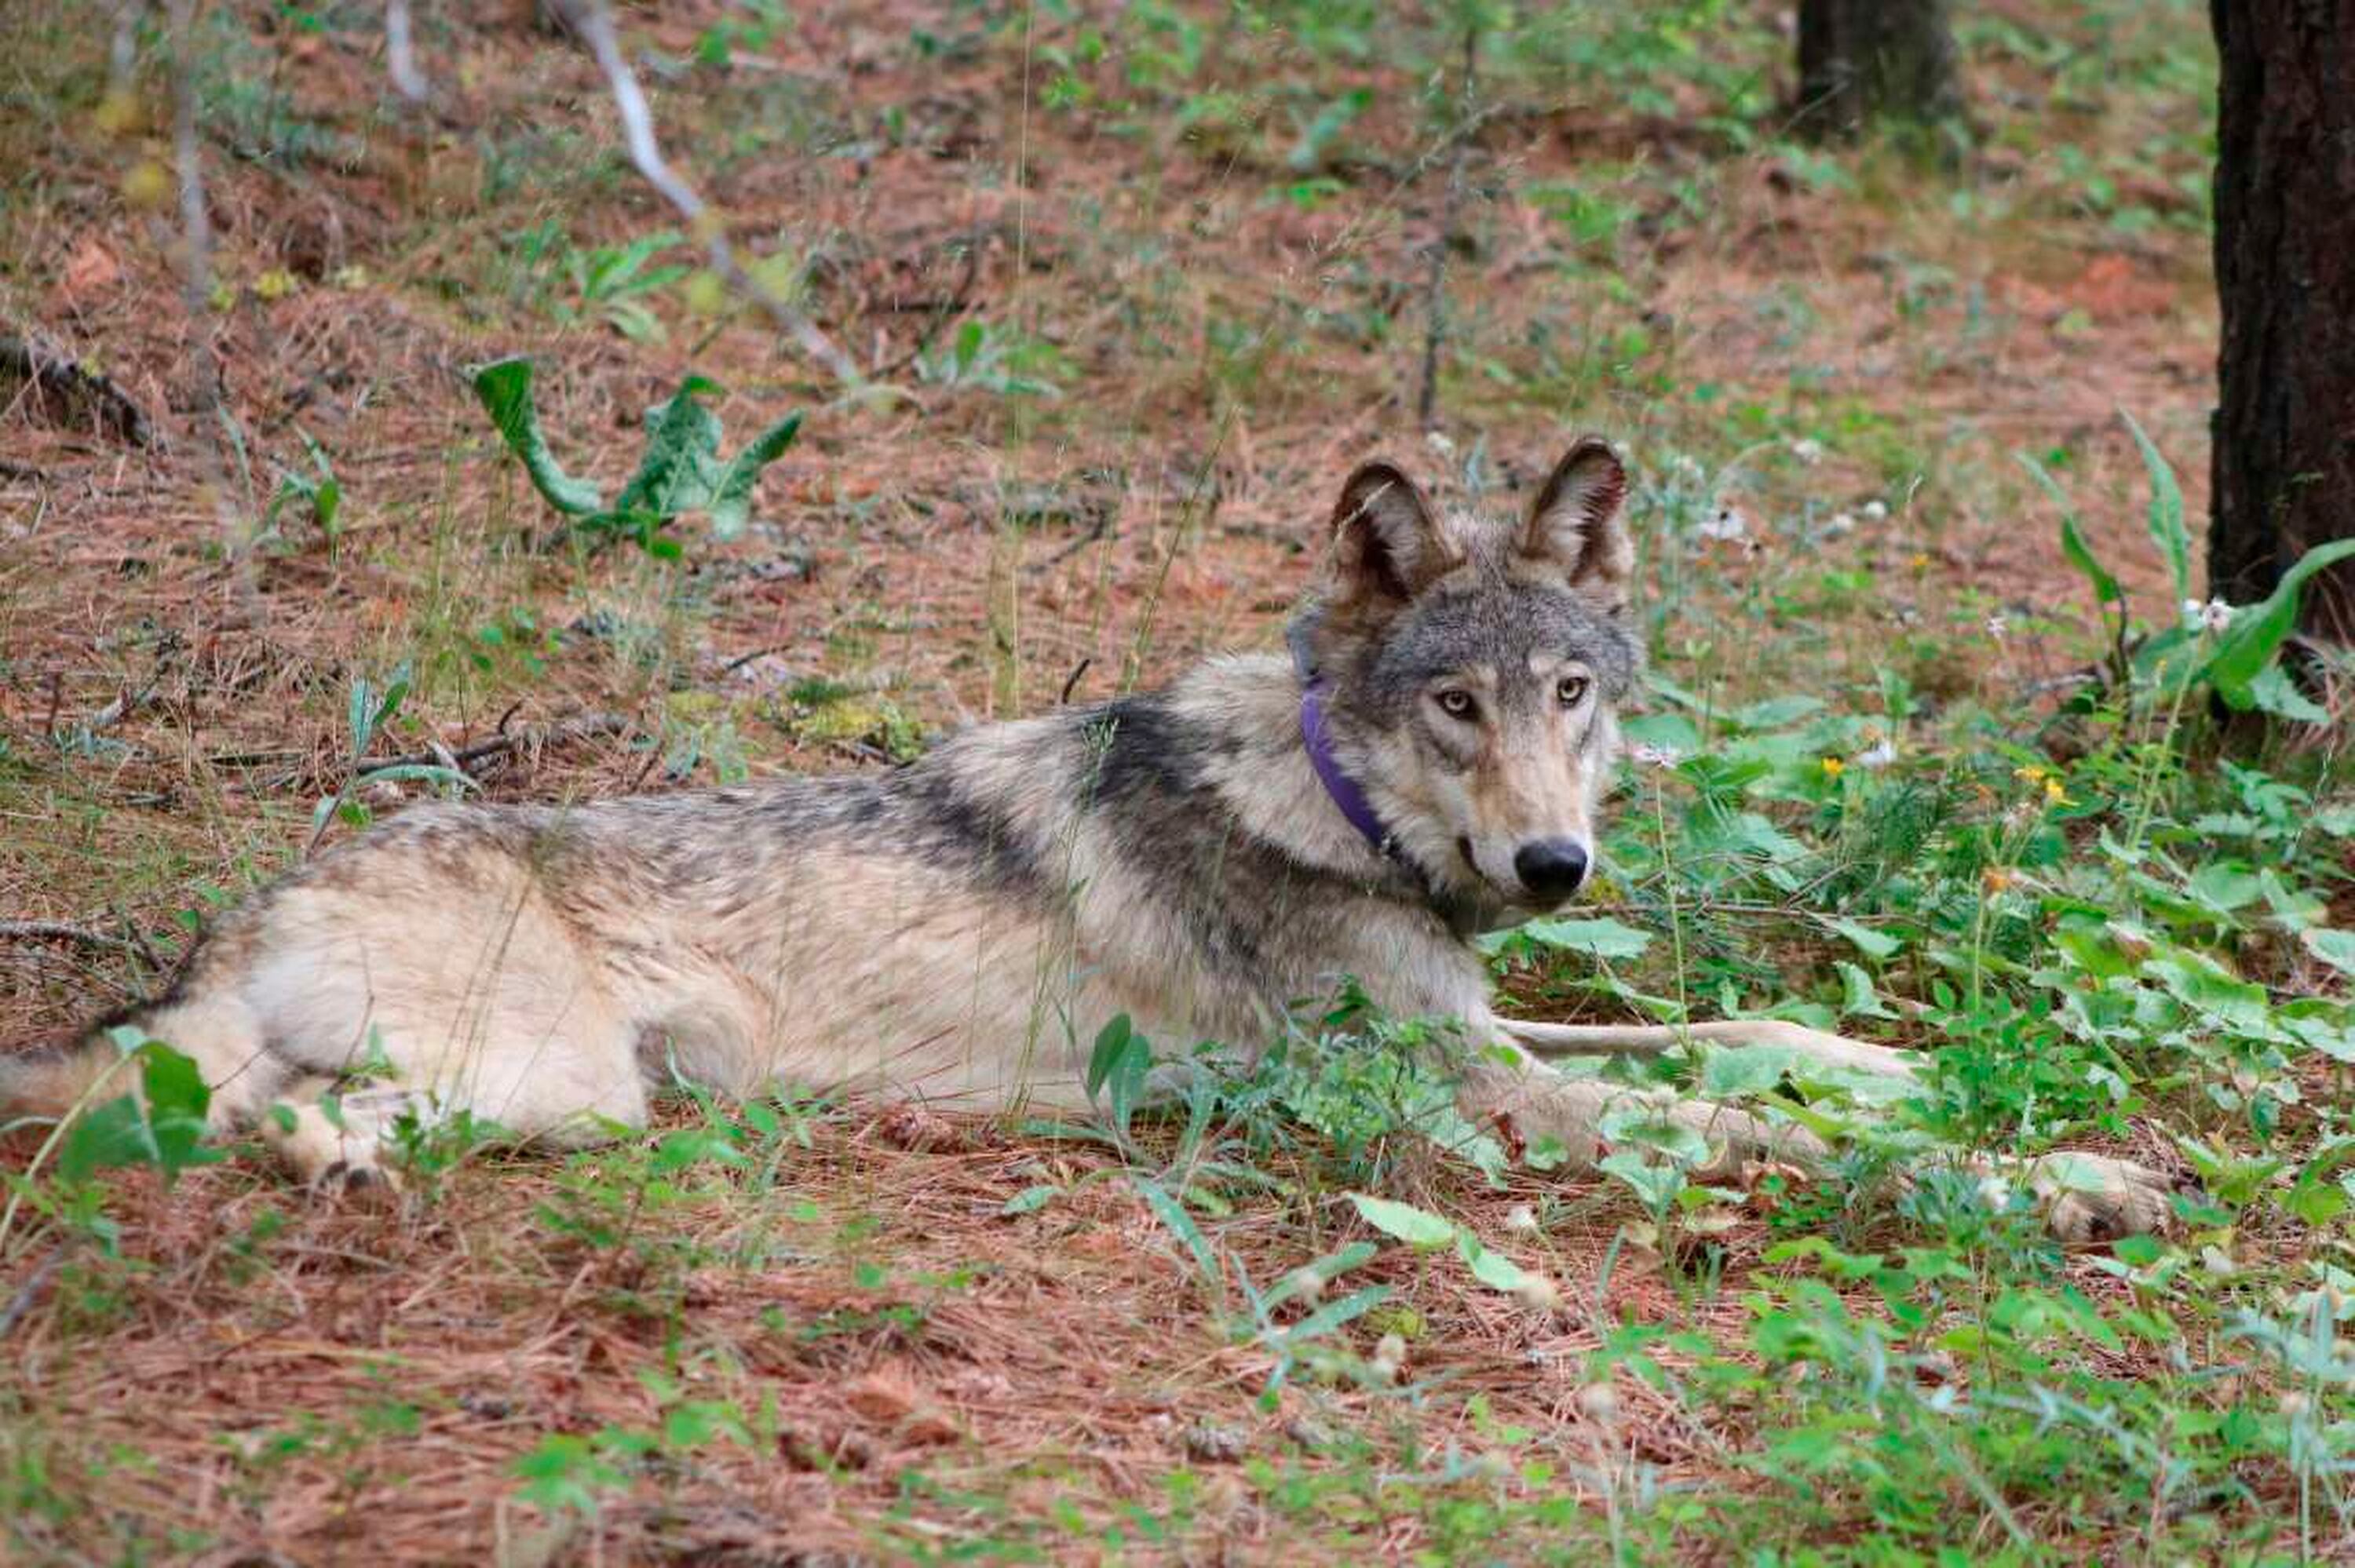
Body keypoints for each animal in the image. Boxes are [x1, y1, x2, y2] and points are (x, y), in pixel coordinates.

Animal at [0, 436, 2167, 1234]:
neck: (1329, 803)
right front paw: (2058, 1178)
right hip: (558, 1088)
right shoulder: (1460, 1099)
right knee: (248, 1117)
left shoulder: (1478, 1032)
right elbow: (1722, 1128)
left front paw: (1899, 1070)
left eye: (1573, 693)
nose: (1555, 870)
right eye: (1452, 706)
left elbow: (1737, 1040)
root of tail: (261, 895)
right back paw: (316, 1166)